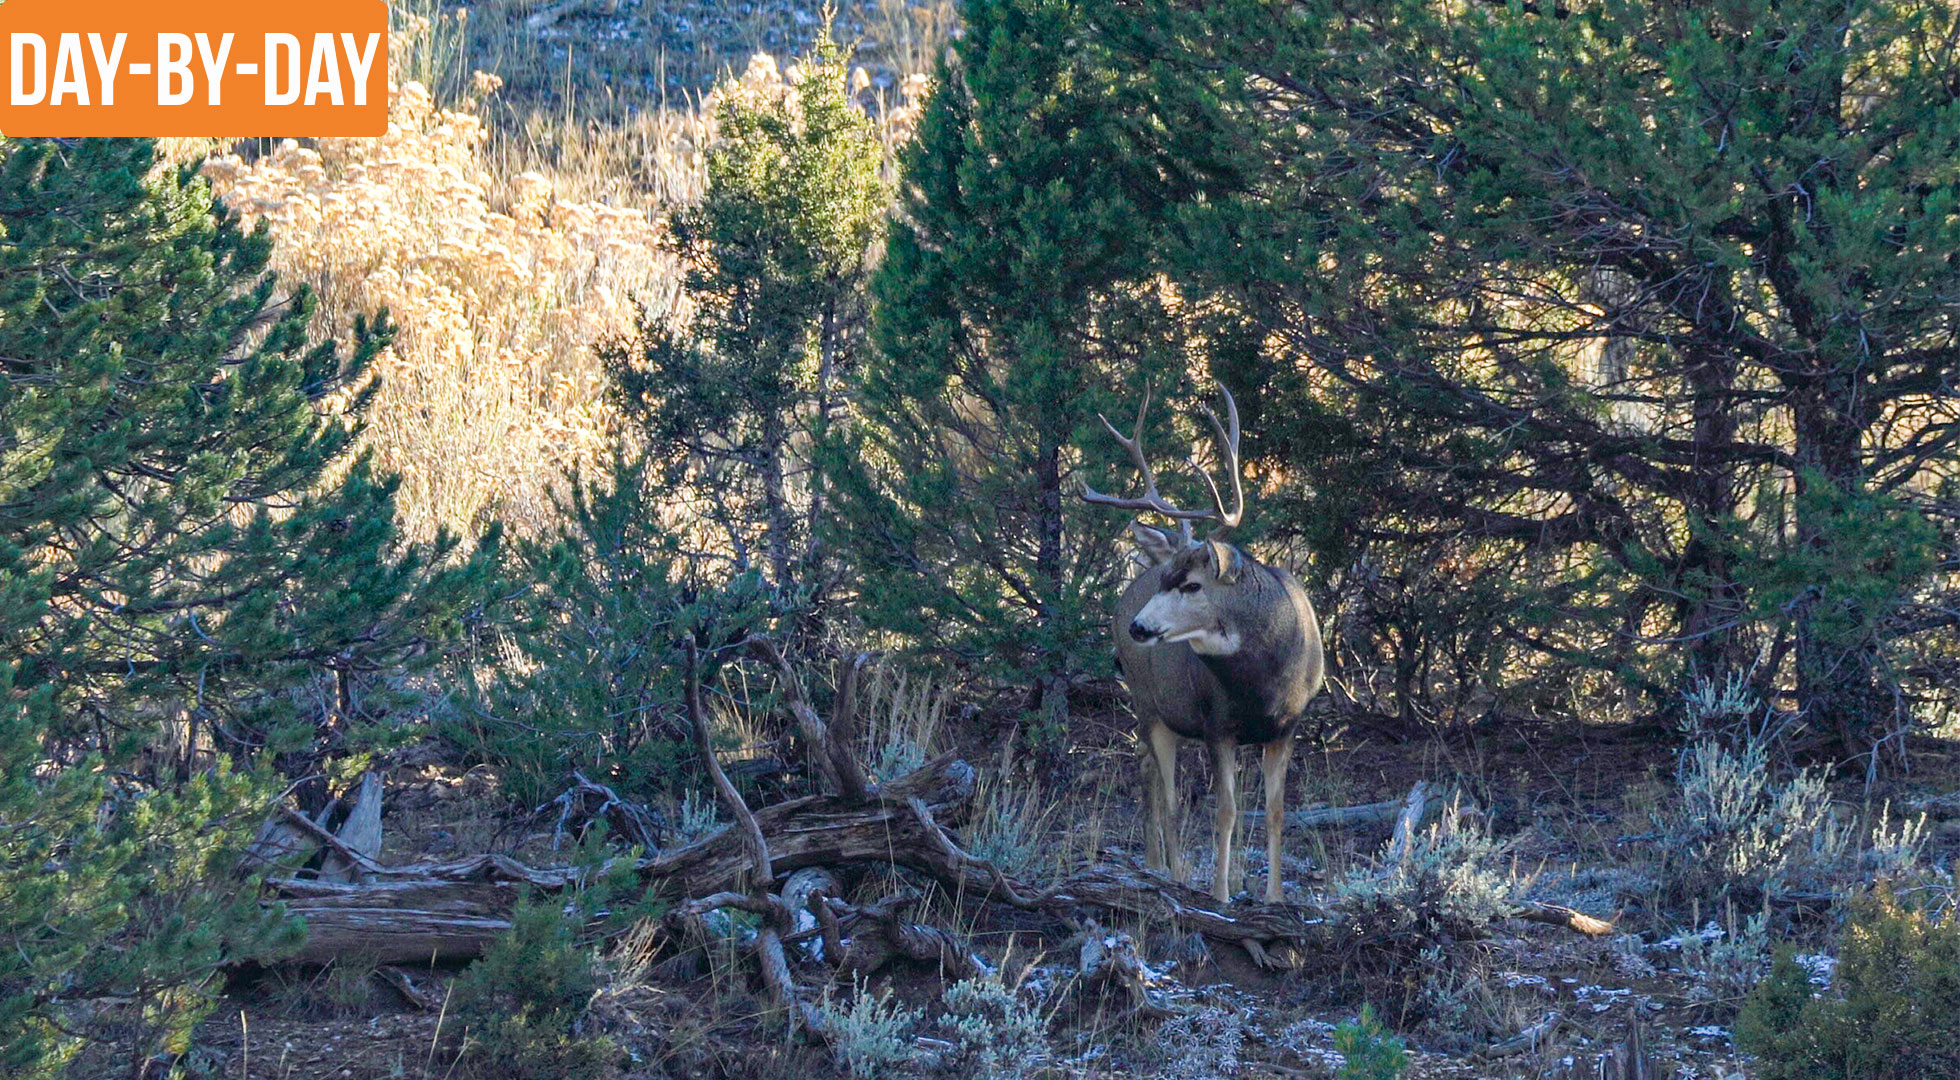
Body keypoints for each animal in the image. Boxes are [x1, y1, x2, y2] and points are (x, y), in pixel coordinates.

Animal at [1081, 383, 1324, 904]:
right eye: (1165, 581)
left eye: (1191, 585)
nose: (1138, 628)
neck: (1264, 679)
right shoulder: (1217, 724)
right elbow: (1226, 810)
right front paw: (1221, 893)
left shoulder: (1286, 726)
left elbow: (1276, 812)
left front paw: (1274, 896)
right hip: (1150, 704)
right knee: (1167, 793)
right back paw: (1171, 872)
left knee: (1146, 768)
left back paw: (1159, 864)